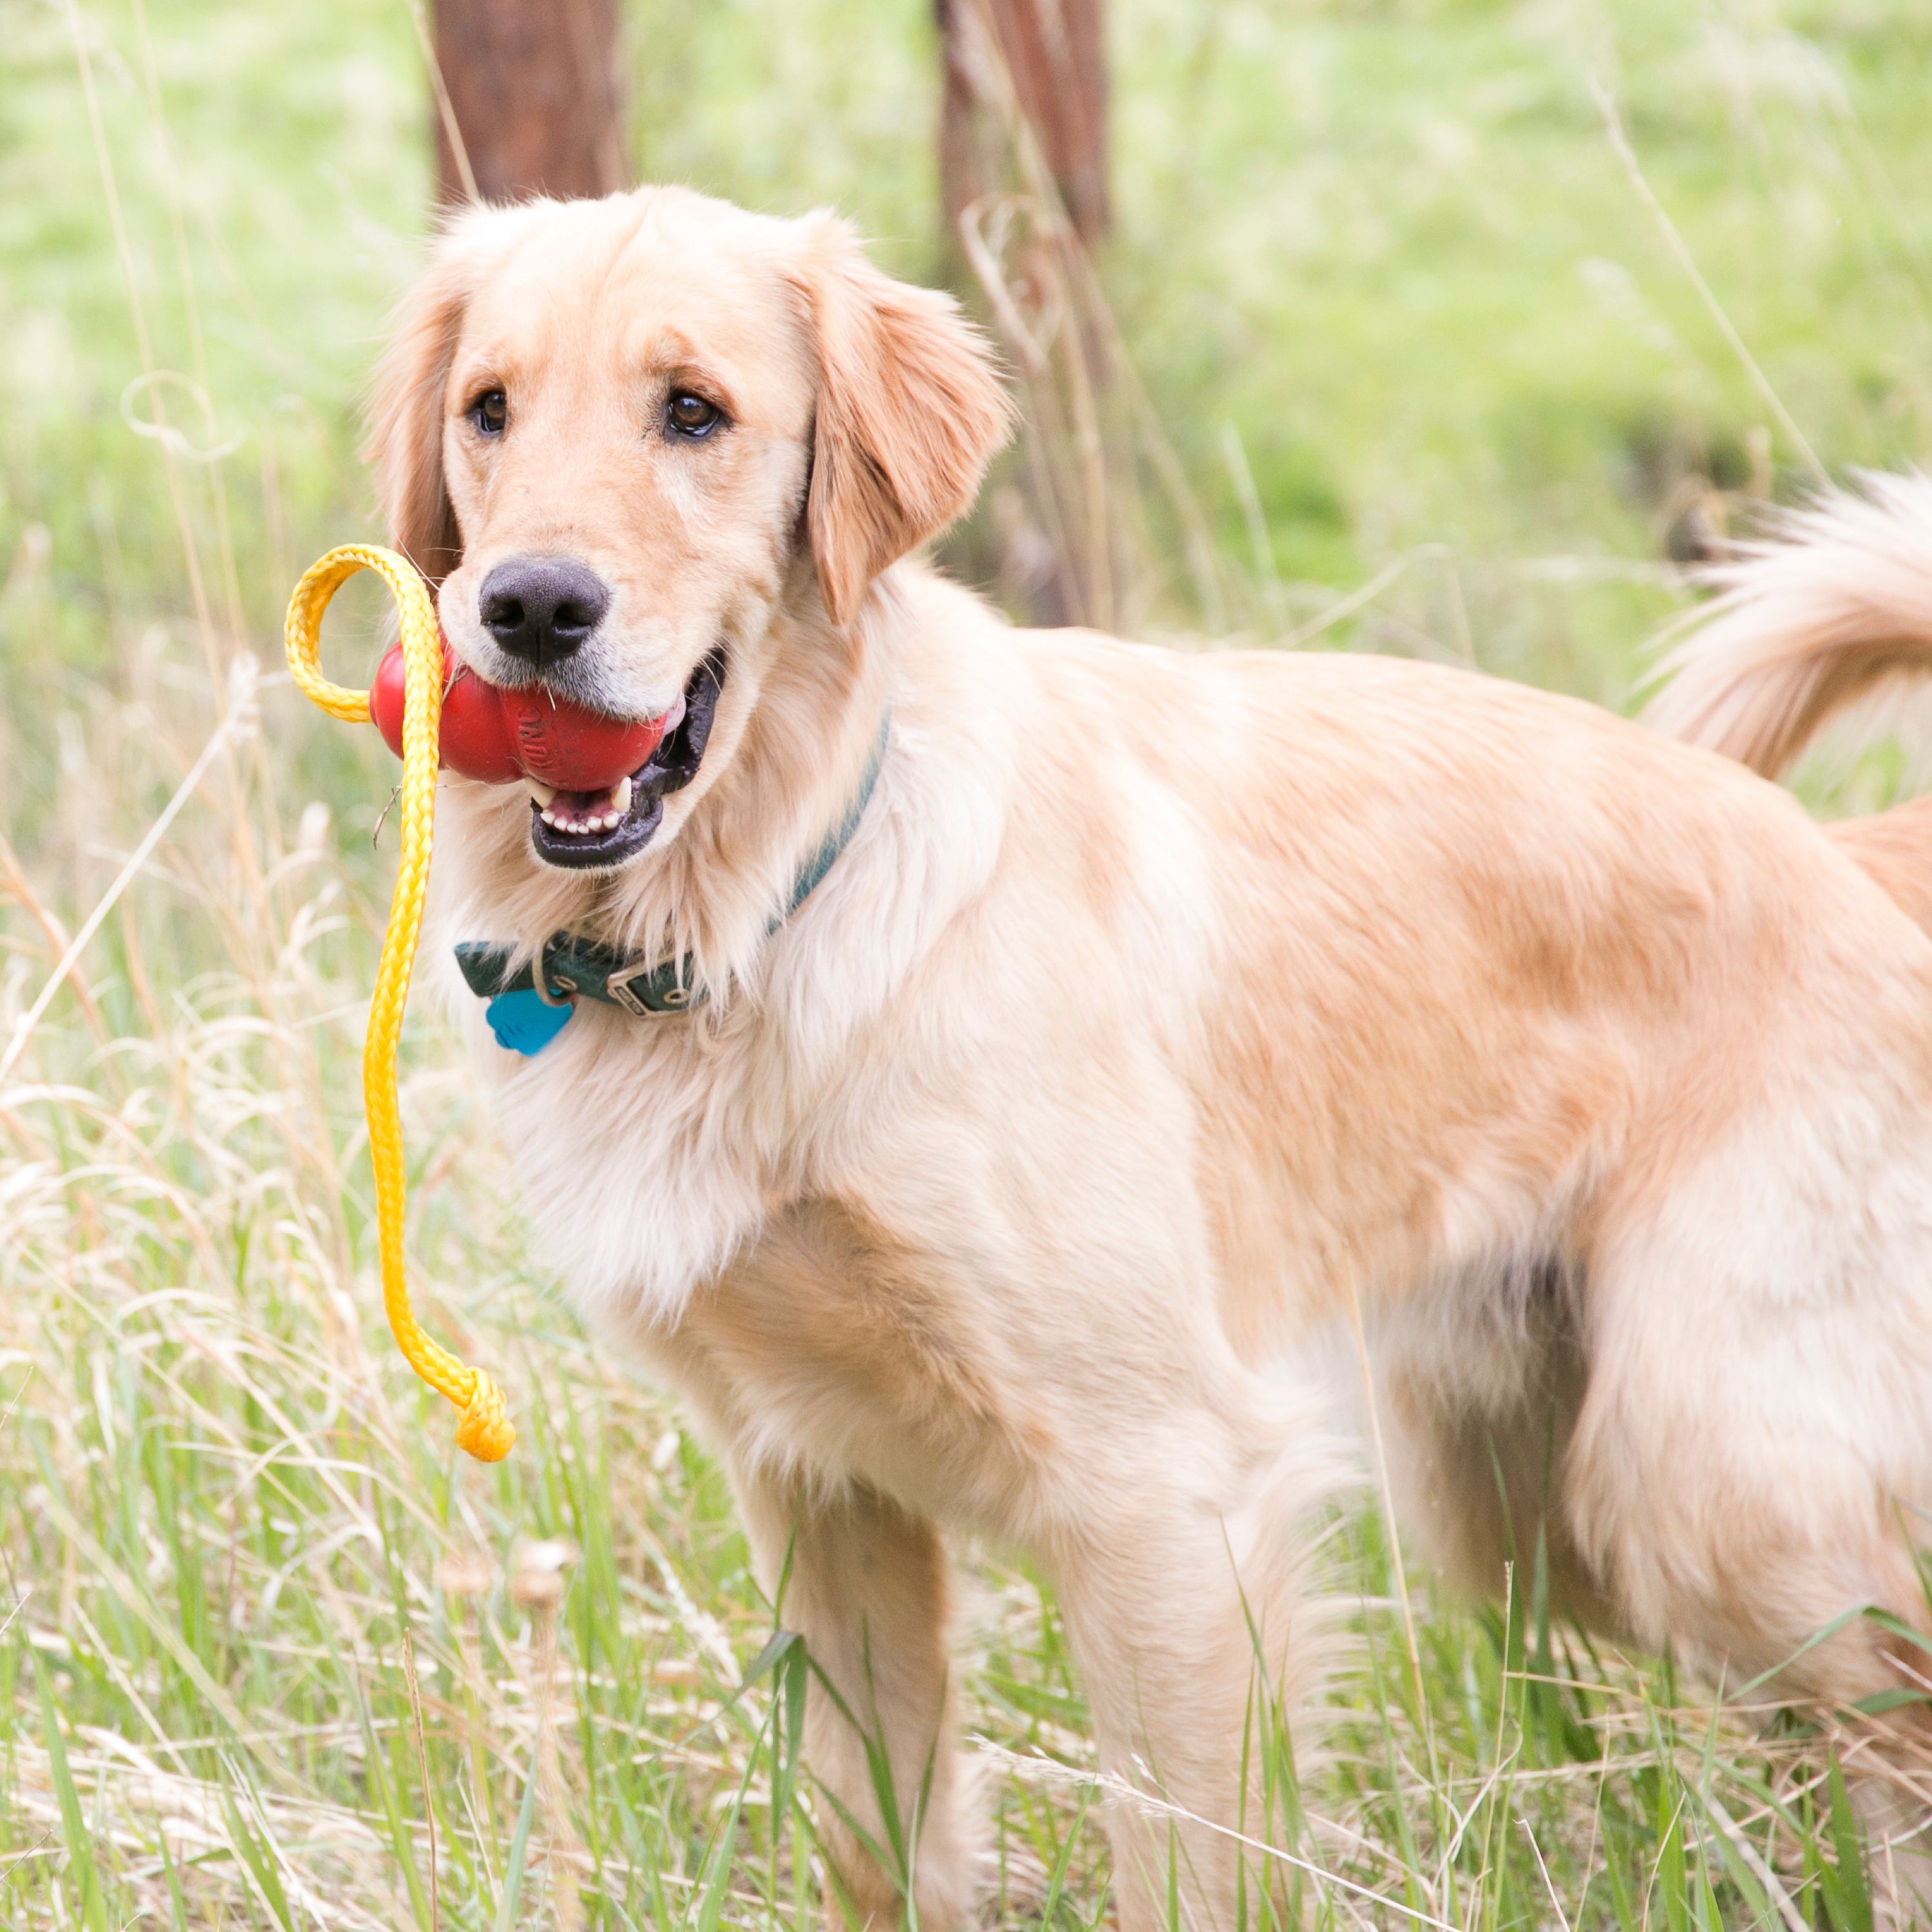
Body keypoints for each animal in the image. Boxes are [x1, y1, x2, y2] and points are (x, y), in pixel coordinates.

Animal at [369, 184, 1932, 1932]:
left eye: (692, 411)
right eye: (488, 410)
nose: (527, 608)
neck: (766, 903)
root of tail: (1840, 856)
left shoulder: (1165, 1488)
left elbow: (1185, 1856)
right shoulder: (818, 1488)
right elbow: (878, 1839)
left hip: (1710, 1488)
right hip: (1527, 1508)